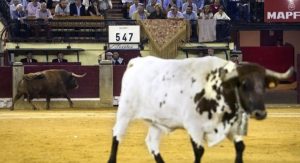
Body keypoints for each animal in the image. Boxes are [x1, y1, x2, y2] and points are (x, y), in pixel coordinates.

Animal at [108, 56, 292, 163]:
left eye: (264, 86)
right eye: (244, 85)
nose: (260, 113)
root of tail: (136, 61)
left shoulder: (231, 127)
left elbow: (240, 147)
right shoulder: (194, 127)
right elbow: (199, 151)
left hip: (156, 121)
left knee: (151, 142)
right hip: (124, 112)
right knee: (117, 136)